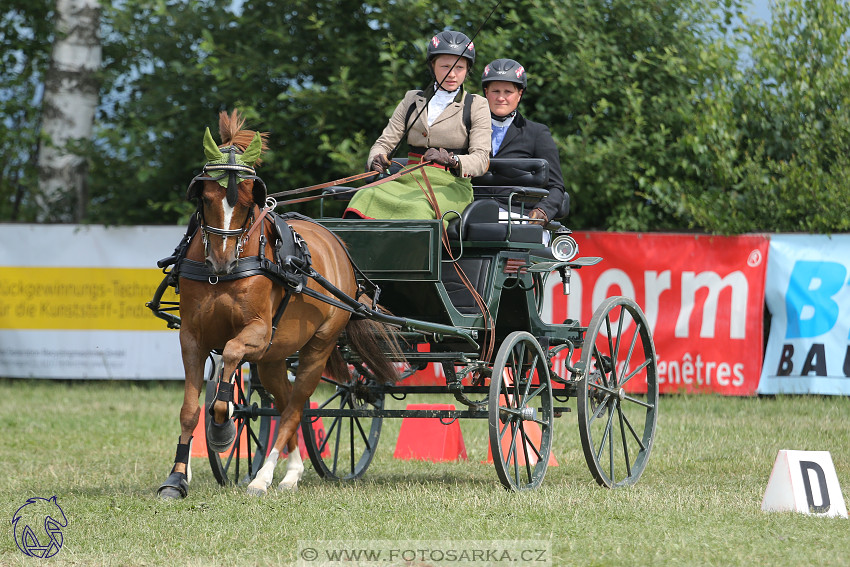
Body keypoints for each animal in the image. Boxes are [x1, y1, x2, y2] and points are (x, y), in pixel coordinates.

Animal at [160, 110, 404, 496]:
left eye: (249, 201)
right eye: (206, 197)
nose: (221, 261)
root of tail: (338, 246)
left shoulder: (257, 331)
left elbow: (230, 361)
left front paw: (223, 426)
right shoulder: (192, 337)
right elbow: (189, 410)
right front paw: (176, 479)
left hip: (317, 347)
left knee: (295, 406)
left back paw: (264, 477)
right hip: (273, 357)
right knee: (287, 401)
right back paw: (290, 471)